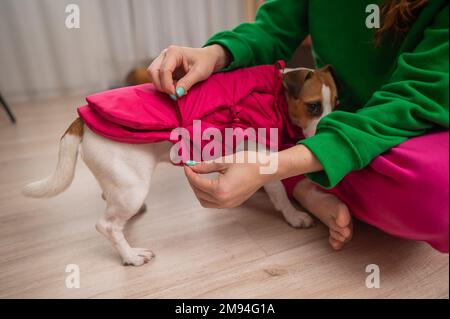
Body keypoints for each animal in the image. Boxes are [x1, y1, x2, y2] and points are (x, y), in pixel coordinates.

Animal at [22, 64, 338, 264]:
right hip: (132, 189)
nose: (327, 129)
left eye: (336, 103)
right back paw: (131, 256)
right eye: (313, 106)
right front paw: (294, 216)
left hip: (120, 184)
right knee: (107, 225)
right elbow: (280, 195)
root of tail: (82, 120)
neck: (274, 95)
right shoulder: (263, 160)